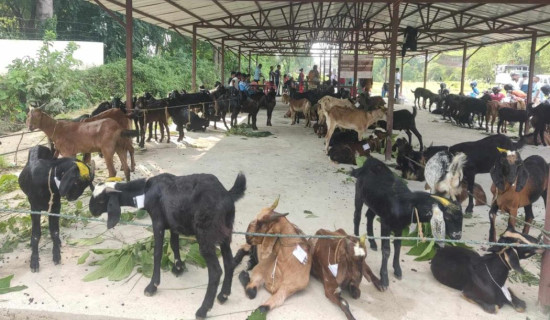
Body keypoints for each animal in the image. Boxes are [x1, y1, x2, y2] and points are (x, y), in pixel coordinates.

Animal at [88, 174, 246, 318]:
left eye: (101, 199)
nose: (91, 210)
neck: (145, 190)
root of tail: (226, 196)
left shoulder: (158, 221)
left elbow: (157, 253)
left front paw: (152, 286)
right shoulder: (173, 223)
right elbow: (174, 244)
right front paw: (178, 268)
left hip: (205, 235)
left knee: (216, 271)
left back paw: (203, 309)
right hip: (225, 233)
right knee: (229, 263)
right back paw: (223, 295)